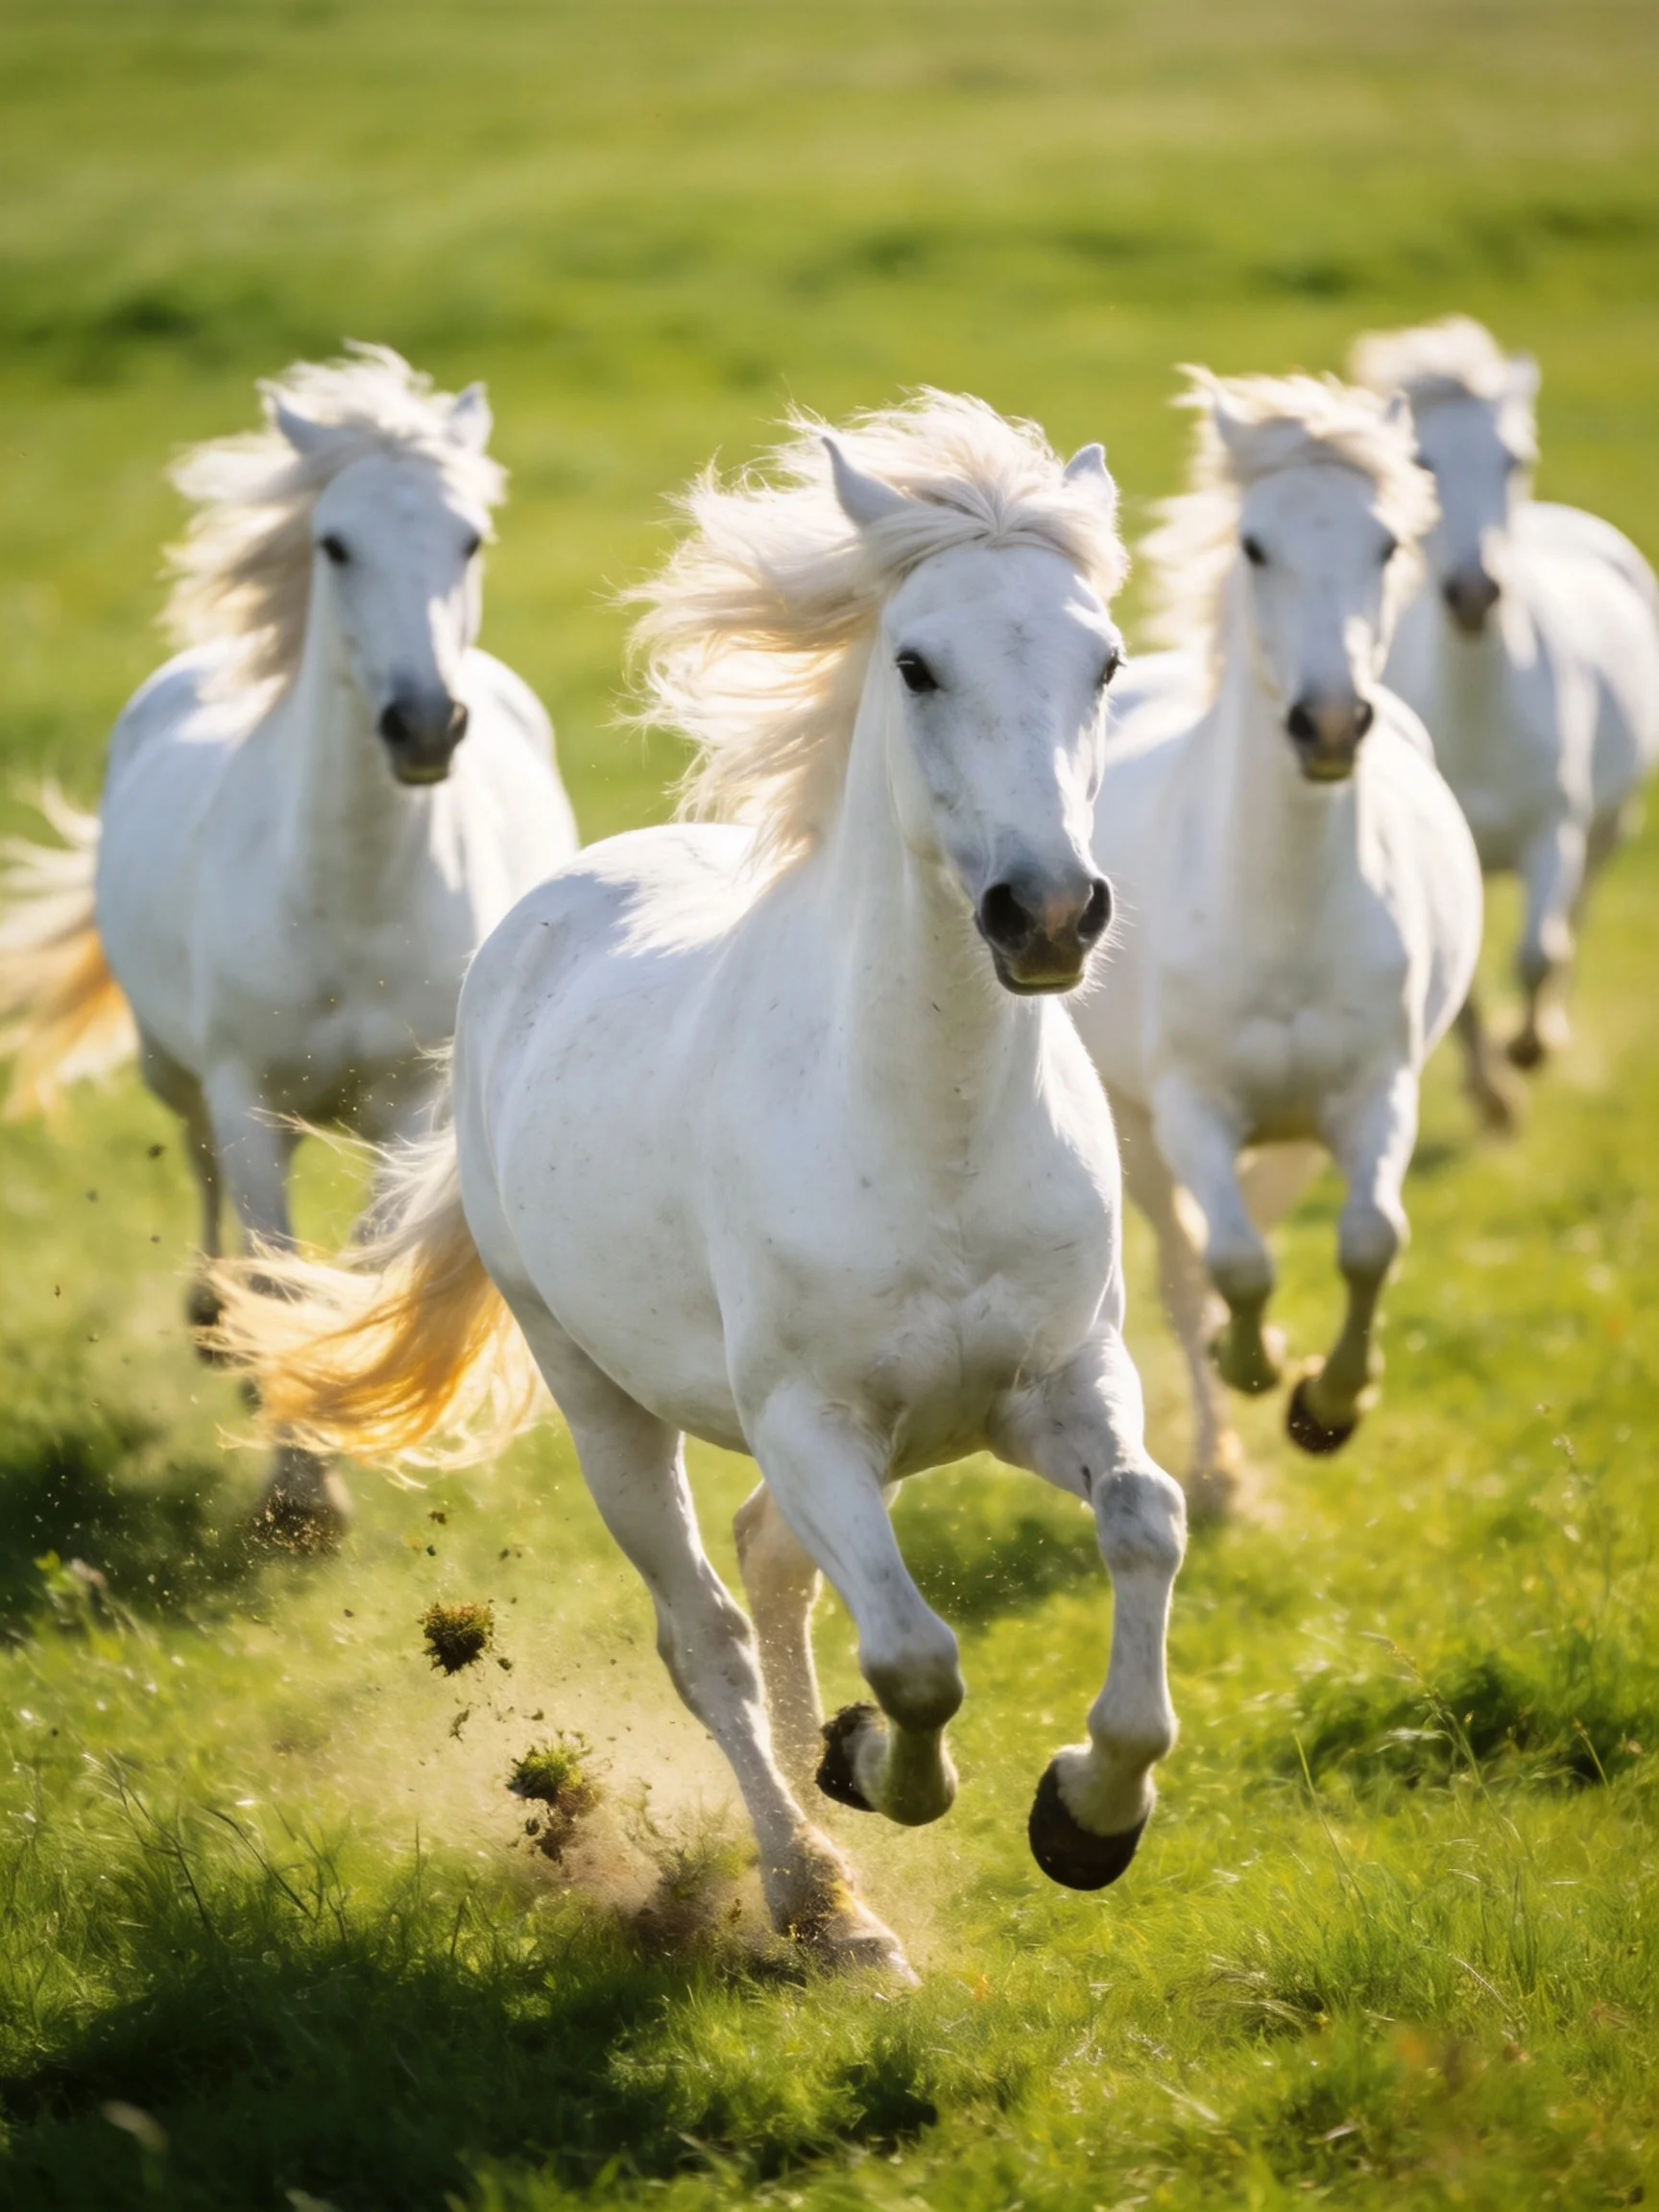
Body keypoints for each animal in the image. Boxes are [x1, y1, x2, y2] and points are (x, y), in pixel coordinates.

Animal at [0, 346, 579, 1545]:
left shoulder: (413, 1101)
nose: (423, 725)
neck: (348, 896)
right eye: (335, 543)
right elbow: (271, 1259)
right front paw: (298, 1498)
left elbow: (352, 1265)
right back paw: (212, 1328)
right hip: (171, 1071)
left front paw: (332, 1420)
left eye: (470, 540)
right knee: (204, 1177)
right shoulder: (245, 1092)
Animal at [210, 393, 1188, 1981]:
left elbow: (1146, 1520)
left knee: (771, 1569)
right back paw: (822, 1906)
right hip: (602, 1400)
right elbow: (914, 1657)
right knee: (711, 1631)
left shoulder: (1059, 1383)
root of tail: (545, 910)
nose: (1047, 914)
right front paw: (877, 1770)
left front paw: (1087, 1818)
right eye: (916, 664)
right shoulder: (812, 1422)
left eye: (1103, 661)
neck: (929, 1127)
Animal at [1069, 371, 1483, 1510]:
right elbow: (1231, 1265)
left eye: (1388, 545)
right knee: (1186, 1264)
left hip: (1299, 1128)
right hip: (1139, 1126)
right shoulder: (1189, 1111)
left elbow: (1371, 1240)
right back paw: (1217, 1462)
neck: (1281, 908)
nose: (1329, 724)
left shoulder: (1376, 1092)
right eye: (1254, 546)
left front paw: (1329, 1405)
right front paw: (1251, 1372)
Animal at [1350, 317, 1659, 1128]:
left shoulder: (1555, 829)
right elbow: (1460, 993)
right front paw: (1491, 1093)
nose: (1474, 592)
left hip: (1610, 824)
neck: (1477, 714)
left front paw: (1527, 1053)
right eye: (1420, 462)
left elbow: (1537, 954)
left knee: (1572, 919)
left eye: (1514, 459)